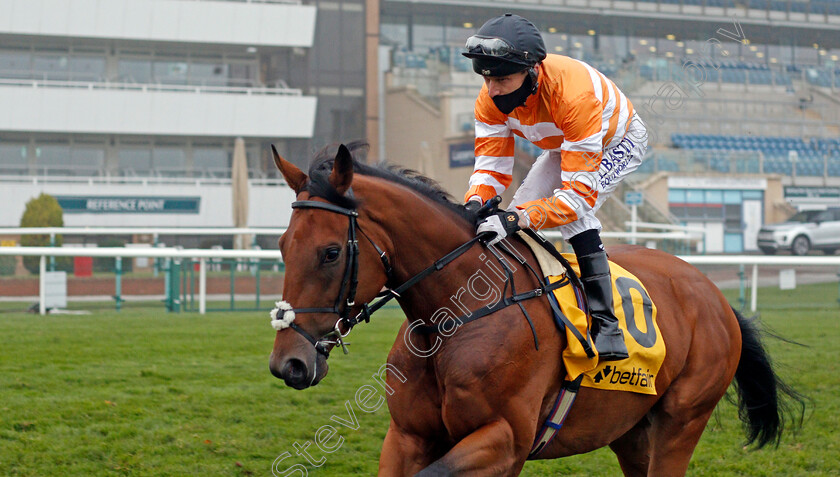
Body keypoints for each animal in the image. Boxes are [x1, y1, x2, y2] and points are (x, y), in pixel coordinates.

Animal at [268, 143, 800, 474]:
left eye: (330, 252)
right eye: (281, 245)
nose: (288, 363)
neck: (455, 318)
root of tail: (713, 294)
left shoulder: (505, 440)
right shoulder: (408, 437)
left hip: (682, 420)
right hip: (630, 429)